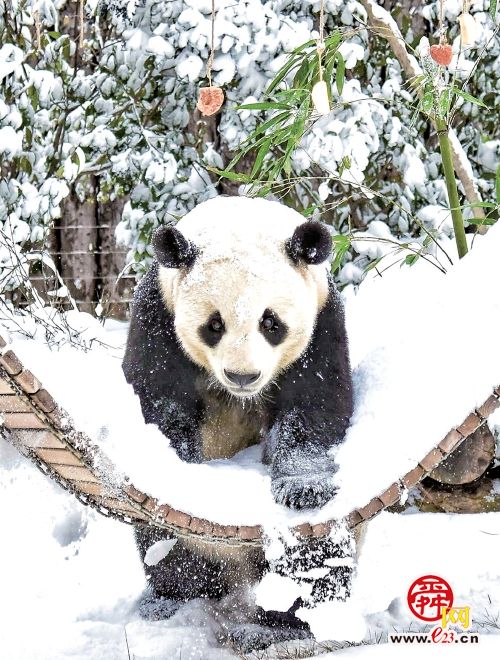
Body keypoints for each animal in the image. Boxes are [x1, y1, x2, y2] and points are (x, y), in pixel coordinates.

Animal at [123, 196, 354, 648]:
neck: (240, 221)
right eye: (214, 324)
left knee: (312, 559)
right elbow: (158, 402)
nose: (242, 377)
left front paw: (304, 487)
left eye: (271, 322)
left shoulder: (323, 317)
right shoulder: (156, 312)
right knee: (165, 548)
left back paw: (277, 627)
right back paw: (168, 600)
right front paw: (180, 468)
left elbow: (316, 402)